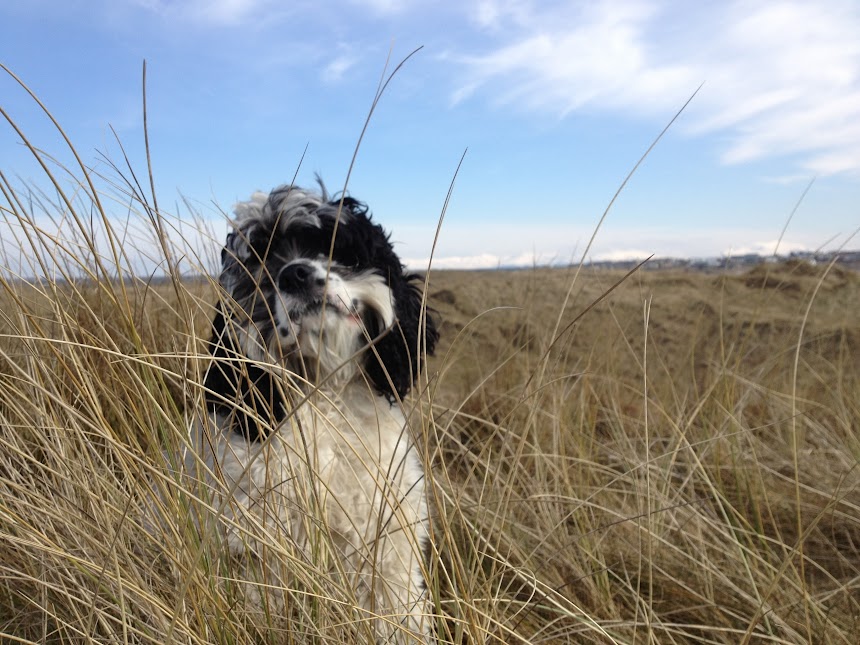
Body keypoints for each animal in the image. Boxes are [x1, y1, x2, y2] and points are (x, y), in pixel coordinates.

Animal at [192, 181, 440, 640]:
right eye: (261, 264)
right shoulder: (258, 552)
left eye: (336, 248)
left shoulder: (387, 549)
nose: (294, 273)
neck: (325, 396)